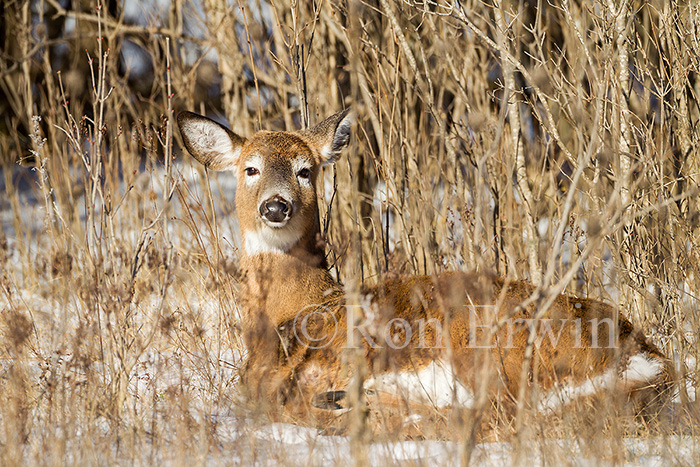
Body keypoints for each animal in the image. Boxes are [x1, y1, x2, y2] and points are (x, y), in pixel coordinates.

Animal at [178, 109, 676, 438]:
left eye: (306, 171)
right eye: (250, 168)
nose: (275, 206)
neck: (298, 308)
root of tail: (652, 360)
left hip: (489, 341)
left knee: (499, 413)